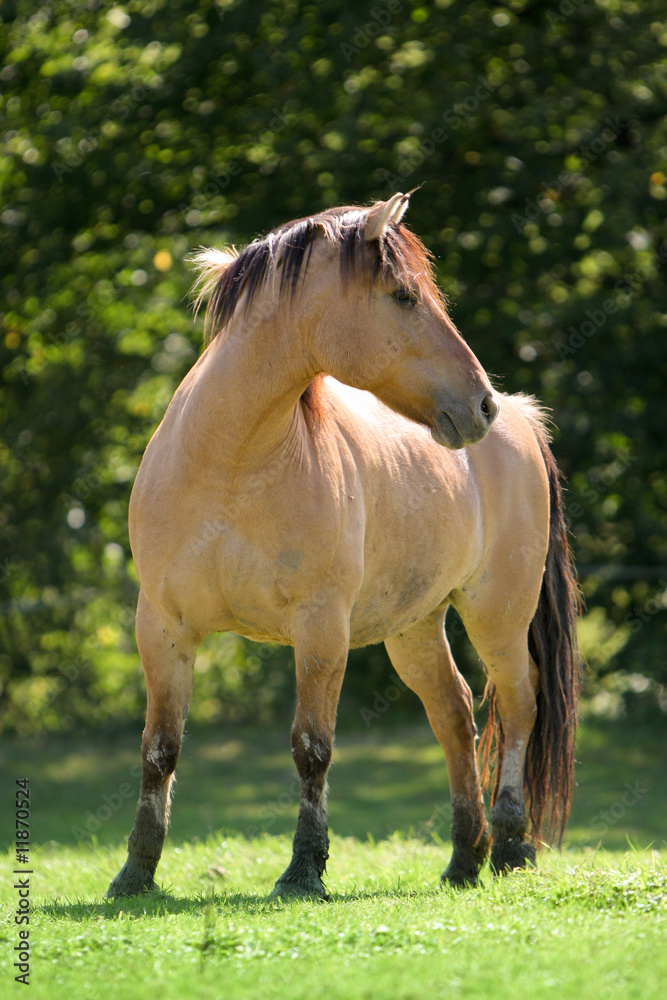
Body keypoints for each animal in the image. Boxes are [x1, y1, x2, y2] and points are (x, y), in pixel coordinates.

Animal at [107, 192, 581, 899]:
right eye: (404, 296)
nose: (480, 405)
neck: (232, 464)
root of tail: (523, 417)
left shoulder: (321, 628)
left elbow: (312, 748)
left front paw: (304, 871)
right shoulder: (162, 628)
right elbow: (159, 749)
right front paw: (135, 873)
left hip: (497, 613)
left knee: (520, 702)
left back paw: (511, 845)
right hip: (415, 625)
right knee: (454, 713)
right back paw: (464, 857)